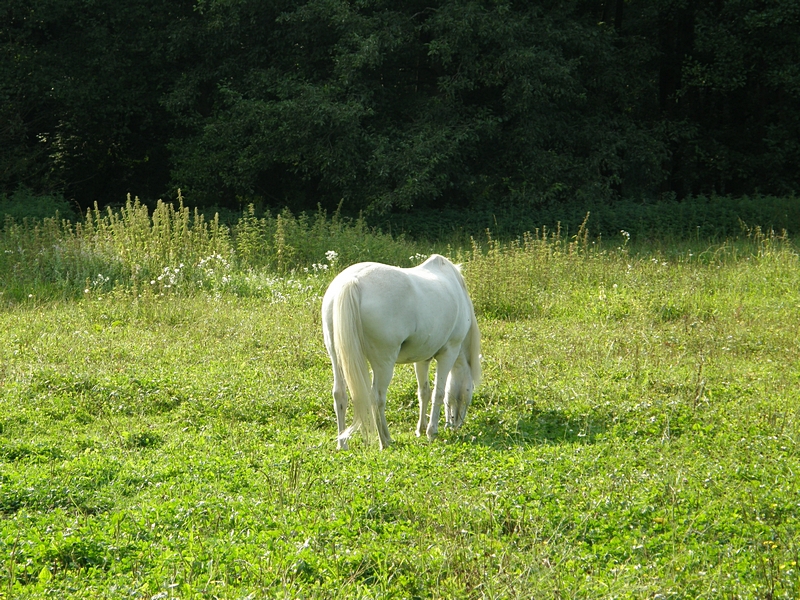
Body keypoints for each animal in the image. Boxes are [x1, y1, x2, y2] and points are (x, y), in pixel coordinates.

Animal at [320, 254, 482, 450]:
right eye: (469, 390)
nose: (456, 424)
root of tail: (352, 281)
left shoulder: (422, 358)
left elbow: (424, 392)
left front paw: (421, 429)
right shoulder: (448, 353)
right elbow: (439, 393)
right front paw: (431, 432)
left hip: (337, 358)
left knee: (340, 395)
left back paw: (342, 444)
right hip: (384, 363)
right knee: (376, 398)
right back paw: (385, 440)